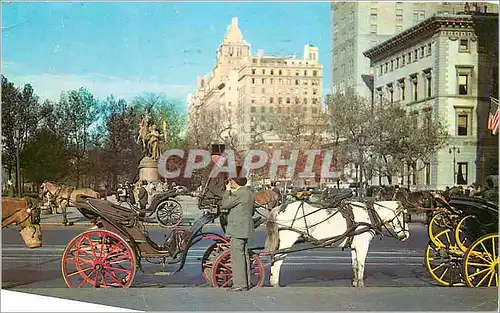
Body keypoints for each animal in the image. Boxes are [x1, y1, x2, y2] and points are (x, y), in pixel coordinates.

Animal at [266, 200, 410, 286]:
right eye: (405, 216)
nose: (406, 235)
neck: (369, 214)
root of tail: (280, 207)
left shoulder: (354, 247)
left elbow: (355, 265)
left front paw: (355, 282)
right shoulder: (362, 245)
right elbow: (361, 264)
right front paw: (361, 283)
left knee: (274, 258)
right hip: (288, 239)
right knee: (278, 258)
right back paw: (274, 282)